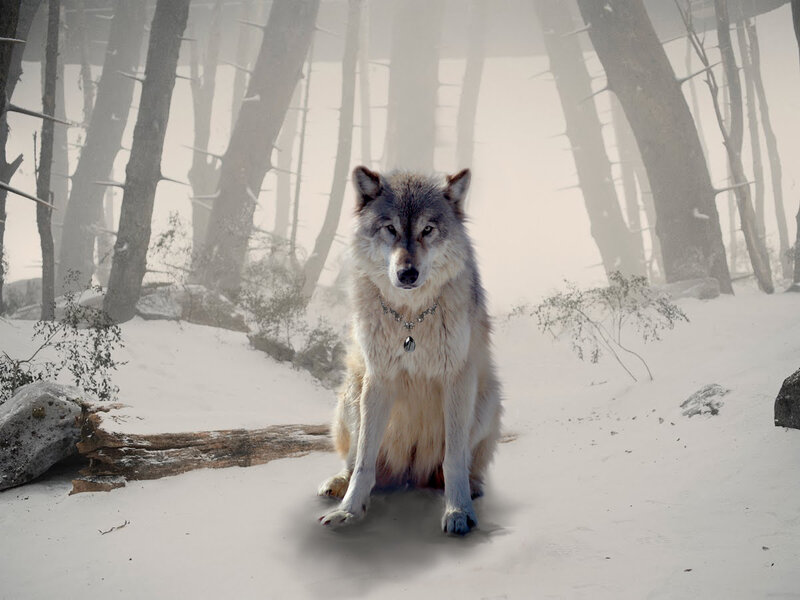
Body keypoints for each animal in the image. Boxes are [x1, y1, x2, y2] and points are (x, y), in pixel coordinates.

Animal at [317, 166, 502, 535]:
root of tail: (410, 473)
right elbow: (364, 461)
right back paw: (338, 484)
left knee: (462, 464)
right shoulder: (378, 379)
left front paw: (458, 511)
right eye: (390, 228)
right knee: (355, 459)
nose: (407, 273)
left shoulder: (457, 379)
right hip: (351, 394)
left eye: (427, 230)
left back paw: (472, 487)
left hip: (487, 398)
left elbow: (454, 459)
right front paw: (349, 511)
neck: (410, 320)